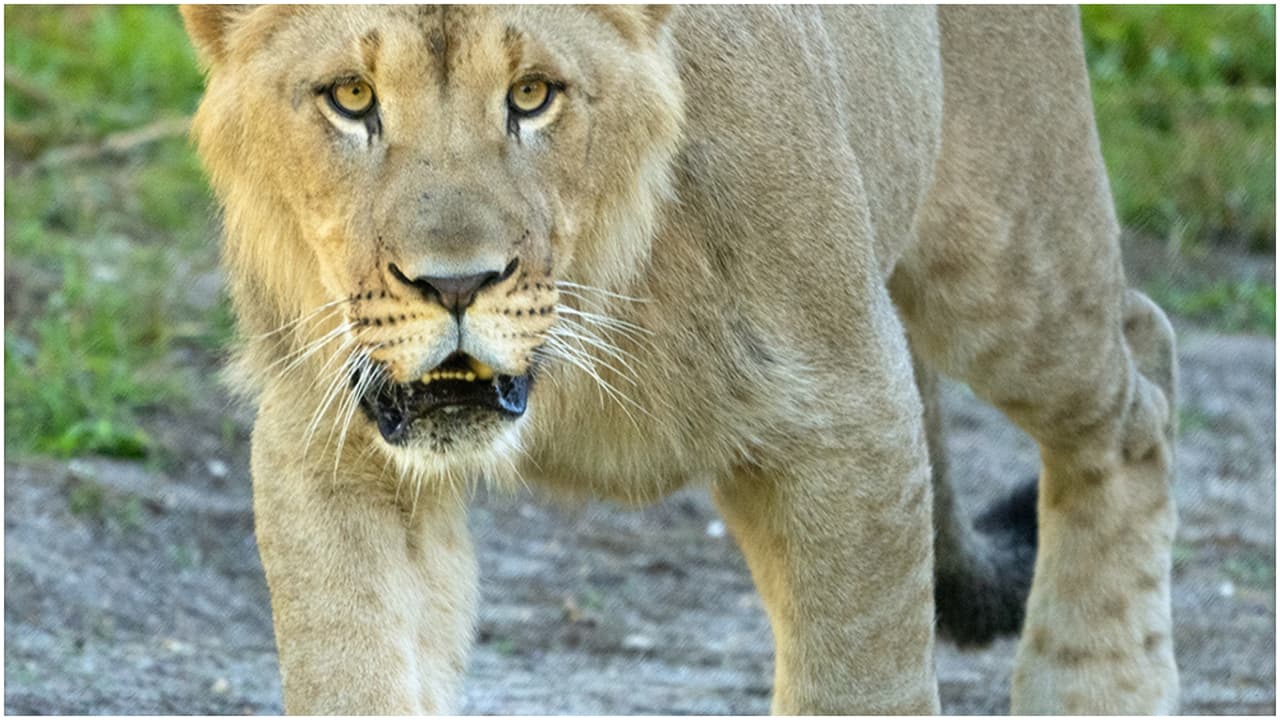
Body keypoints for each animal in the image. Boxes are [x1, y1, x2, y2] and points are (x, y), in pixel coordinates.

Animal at [182, 5, 1179, 714]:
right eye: (352, 99)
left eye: (533, 95)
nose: (456, 285)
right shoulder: (332, 448)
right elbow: (353, 665)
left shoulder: (852, 421)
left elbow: (859, 682)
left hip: (1007, 253)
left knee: (1141, 378)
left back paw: (1098, 693)